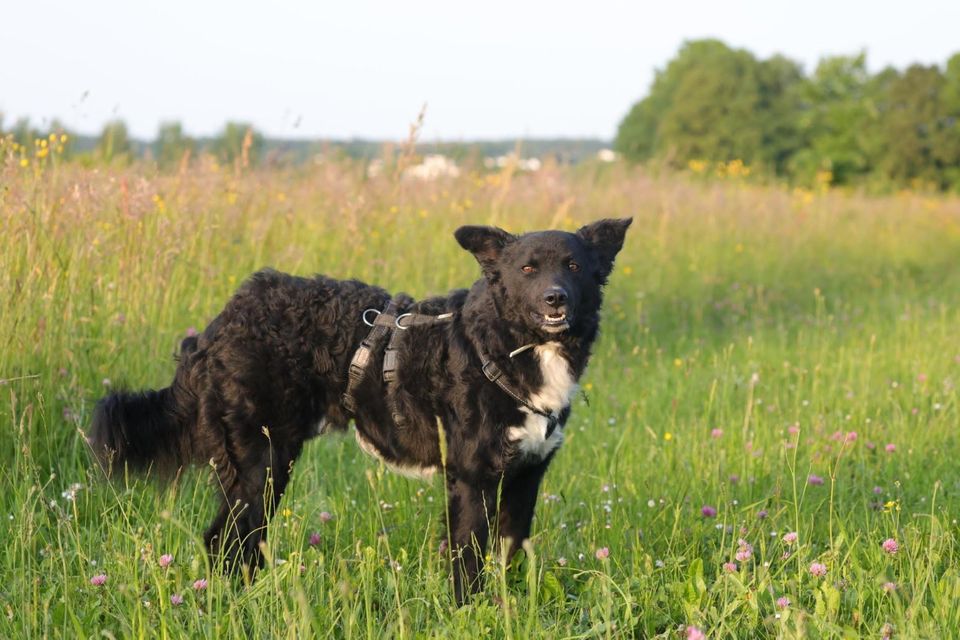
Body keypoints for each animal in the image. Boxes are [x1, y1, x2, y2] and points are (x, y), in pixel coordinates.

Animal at [88, 218, 632, 604]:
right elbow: (468, 562)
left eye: (574, 267)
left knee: (241, 543)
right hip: (261, 464)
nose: (555, 298)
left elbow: (508, 555)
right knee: (223, 542)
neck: (504, 345)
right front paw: (469, 614)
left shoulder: (524, 479)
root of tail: (222, 322)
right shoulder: (471, 479)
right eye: (527, 269)